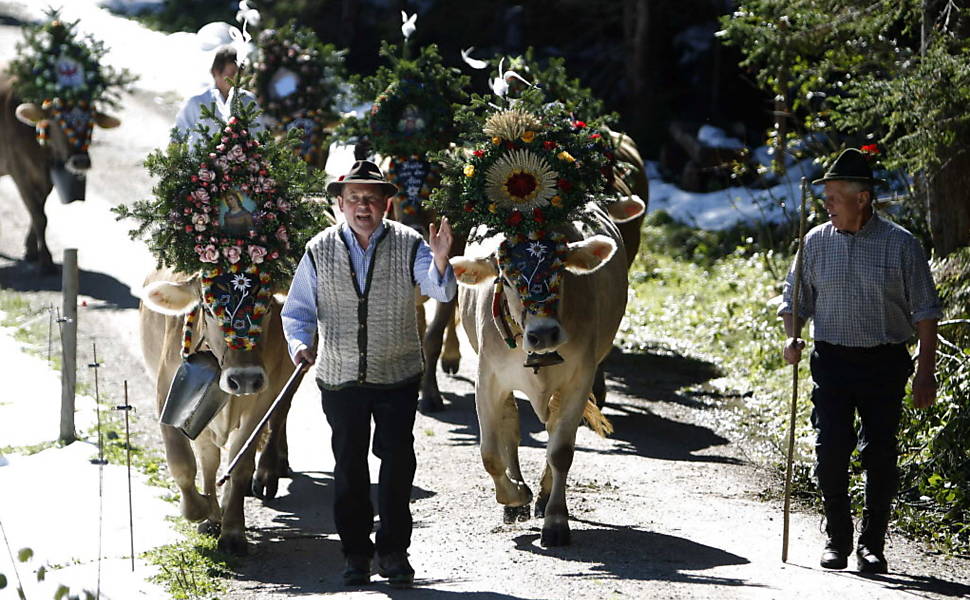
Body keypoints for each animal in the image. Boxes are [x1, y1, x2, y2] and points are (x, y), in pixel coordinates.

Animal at [0, 72, 120, 272]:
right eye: (57, 122)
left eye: (92, 122)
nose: (80, 161)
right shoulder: (18, 170)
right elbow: (39, 215)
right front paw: (46, 261)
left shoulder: (46, 175)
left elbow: (38, 211)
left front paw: (31, 251)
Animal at [139, 270, 292, 556]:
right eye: (209, 310)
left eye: (266, 307)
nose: (244, 379)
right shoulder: (169, 394)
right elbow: (187, 463)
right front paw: (205, 510)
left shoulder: (261, 401)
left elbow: (240, 464)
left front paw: (232, 531)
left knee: (281, 413)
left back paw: (268, 471)